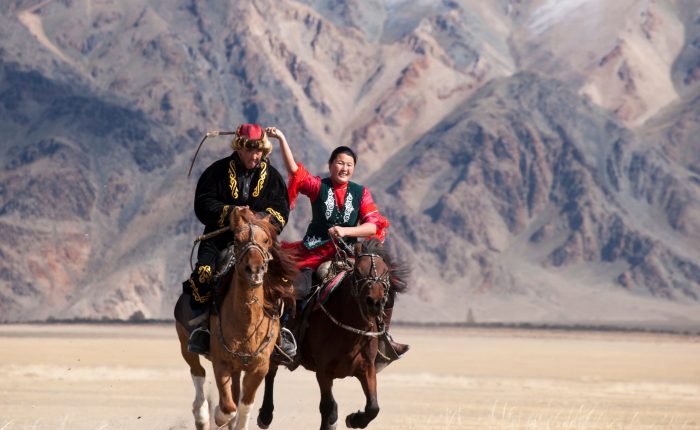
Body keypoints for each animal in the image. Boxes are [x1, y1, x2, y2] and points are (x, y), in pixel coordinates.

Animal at [176, 207, 296, 428]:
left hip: (239, 367)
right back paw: (202, 416)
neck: (246, 323)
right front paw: (217, 416)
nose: (255, 269)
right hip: (185, 345)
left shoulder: (259, 367)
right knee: (198, 372)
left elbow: (244, 405)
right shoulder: (221, 362)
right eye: (238, 240)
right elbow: (228, 407)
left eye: (266, 240)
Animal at [258, 239, 410, 430]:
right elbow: (328, 408)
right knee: (271, 371)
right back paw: (265, 415)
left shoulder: (367, 369)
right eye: (358, 271)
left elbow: (373, 408)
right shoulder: (323, 371)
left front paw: (354, 419)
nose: (374, 302)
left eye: (386, 273)